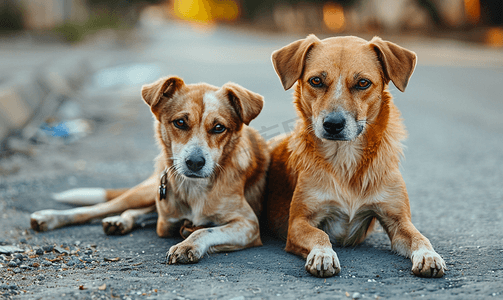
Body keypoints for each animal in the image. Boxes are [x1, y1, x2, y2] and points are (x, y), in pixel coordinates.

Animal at [29, 76, 270, 264]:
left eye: (219, 127)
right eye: (180, 122)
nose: (194, 162)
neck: (194, 189)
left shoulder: (248, 225)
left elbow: (205, 229)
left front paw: (187, 244)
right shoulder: (166, 220)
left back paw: (120, 221)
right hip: (144, 192)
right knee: (97, 209)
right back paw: (51, 217)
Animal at [266, 35, 446, 278]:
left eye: (362, 83)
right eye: (316, 81)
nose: (333, 124)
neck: (345, 158)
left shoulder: (399, 221)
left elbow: (420, 237)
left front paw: (429, 255)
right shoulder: (298, 222)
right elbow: (319, 234)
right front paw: (323, 254)